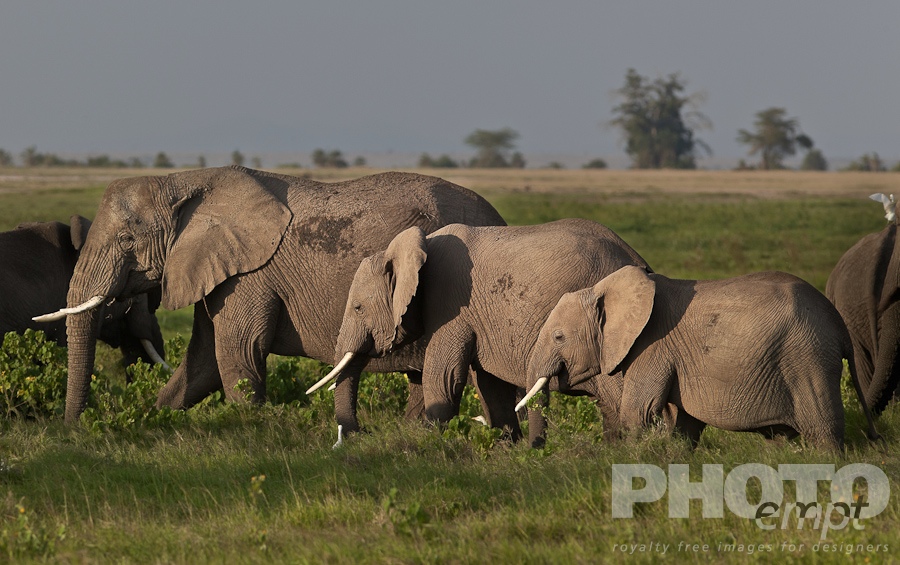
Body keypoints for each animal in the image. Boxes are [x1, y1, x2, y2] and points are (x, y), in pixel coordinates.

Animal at [36, 166, 506, 424]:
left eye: (127, 240)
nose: (73, 427)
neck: (183, 183)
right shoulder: (218, 271)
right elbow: (203, 362)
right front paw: (152, 419)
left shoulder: (248, 275)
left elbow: (238, 351)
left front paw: (251, 432)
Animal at [309, 218, 651, 445]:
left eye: (357, 308)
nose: (363, 432)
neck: (418, 246)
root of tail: (640, 261)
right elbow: (489, 383)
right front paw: (505, 448)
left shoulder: (451, 304)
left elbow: (444, 375)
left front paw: (427, 445)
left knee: (615, 390)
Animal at [521, 266, 879, 451]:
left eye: (559, 337)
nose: (536, 451)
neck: (603, 288)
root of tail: (839, 325)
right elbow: (684, 420)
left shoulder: (653, 346)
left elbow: (638, 411)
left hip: (808, 358)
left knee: (822, 429)